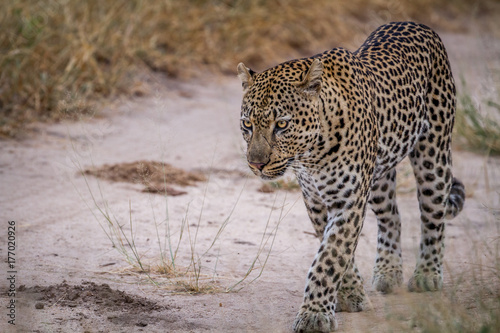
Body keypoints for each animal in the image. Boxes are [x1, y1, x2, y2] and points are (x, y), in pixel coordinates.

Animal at [236, 22, 466, 330]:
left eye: (282, 125)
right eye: (247, 124)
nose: (256, 164)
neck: (312, 154)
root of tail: (419, 25)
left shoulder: (348, 201)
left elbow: (330, 257)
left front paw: (314, 314)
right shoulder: (316, 202)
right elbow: (337, 252)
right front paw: (351, 294)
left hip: (434, 154)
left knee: (433, 215)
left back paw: (427, 274)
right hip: (379, 177)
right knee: (392, 217)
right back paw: (388, 271)